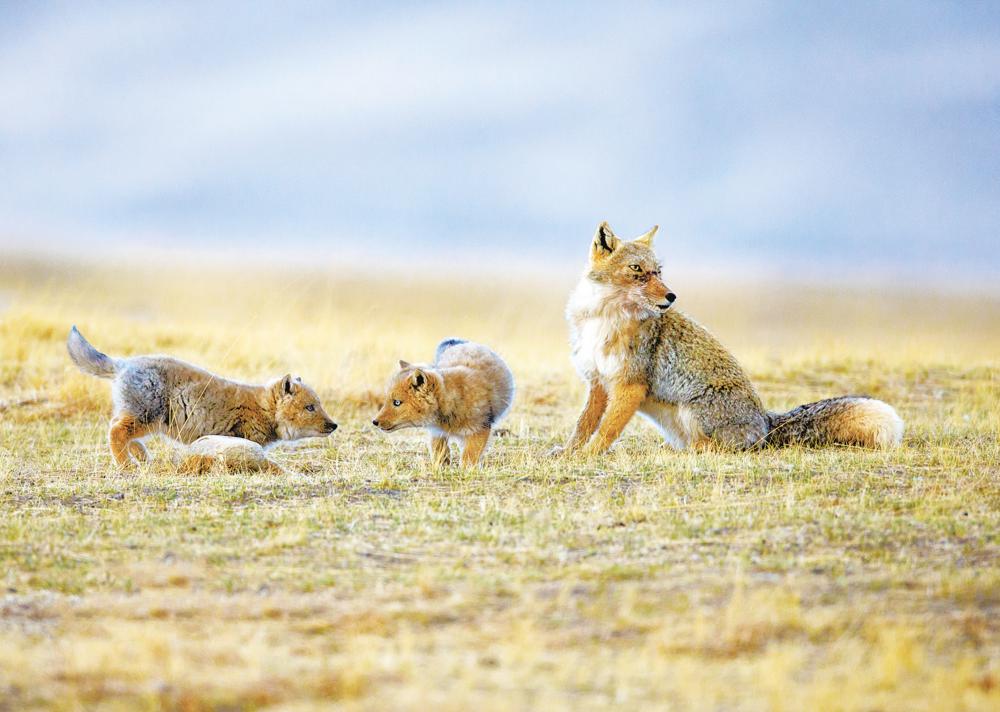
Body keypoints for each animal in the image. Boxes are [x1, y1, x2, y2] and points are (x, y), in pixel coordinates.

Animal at [68, 326, 340, 470]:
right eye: (310, 407)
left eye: (319, 405)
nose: (334, 425)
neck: (262, 409)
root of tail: (124, 363)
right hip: (145, 417)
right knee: (116, 431)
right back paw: (126, 464)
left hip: (145, 420)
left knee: (122, 431)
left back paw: (141, 456)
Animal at [374, 340, 516, 468]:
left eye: (397, 402)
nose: (374, 422)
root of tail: (465, 343)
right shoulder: (437, 432)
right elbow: (440, 453)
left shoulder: (480, 430)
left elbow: (468, 457)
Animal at [564, 222, 908, 456]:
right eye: (637, 269)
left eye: (658, 271)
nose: (671, 296)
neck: (604, 319)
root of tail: (766, 421)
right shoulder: (598, 382)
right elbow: (584, 425)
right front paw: (569, 453)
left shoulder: (630, 384)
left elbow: (607, 429)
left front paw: (589, 455)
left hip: (692, 411)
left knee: (717, 446)